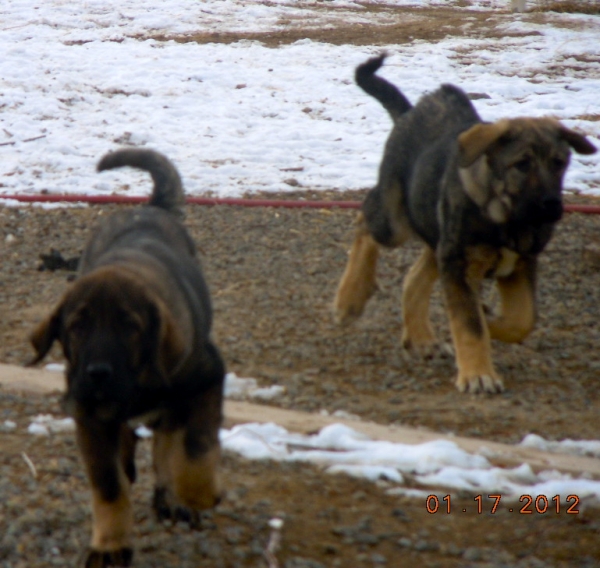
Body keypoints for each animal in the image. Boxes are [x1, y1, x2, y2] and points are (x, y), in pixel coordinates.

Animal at [28, 149, 225, 564]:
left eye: (130, 327)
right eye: (76, 326)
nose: (97, 374)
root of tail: (148, 207)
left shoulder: (208, 378)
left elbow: (195, 448)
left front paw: (198, 494)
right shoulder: (87, 413)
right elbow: (108, 486)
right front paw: (110, 545)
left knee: (169, 443)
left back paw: (172, 497)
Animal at [332, 54, 596, 394]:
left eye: (559, 163)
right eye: (522, 165)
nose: (552, 206)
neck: (503, 216)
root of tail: (409, 114)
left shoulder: (520, 264)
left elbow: (522, 319)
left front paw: (490, 320)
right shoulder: (460, 266)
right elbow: (470, 324)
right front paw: (477, 374)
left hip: (438, 238)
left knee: (414, 278)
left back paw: (422, 339)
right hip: (397, 223)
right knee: (365, 220)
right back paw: (350, 299)